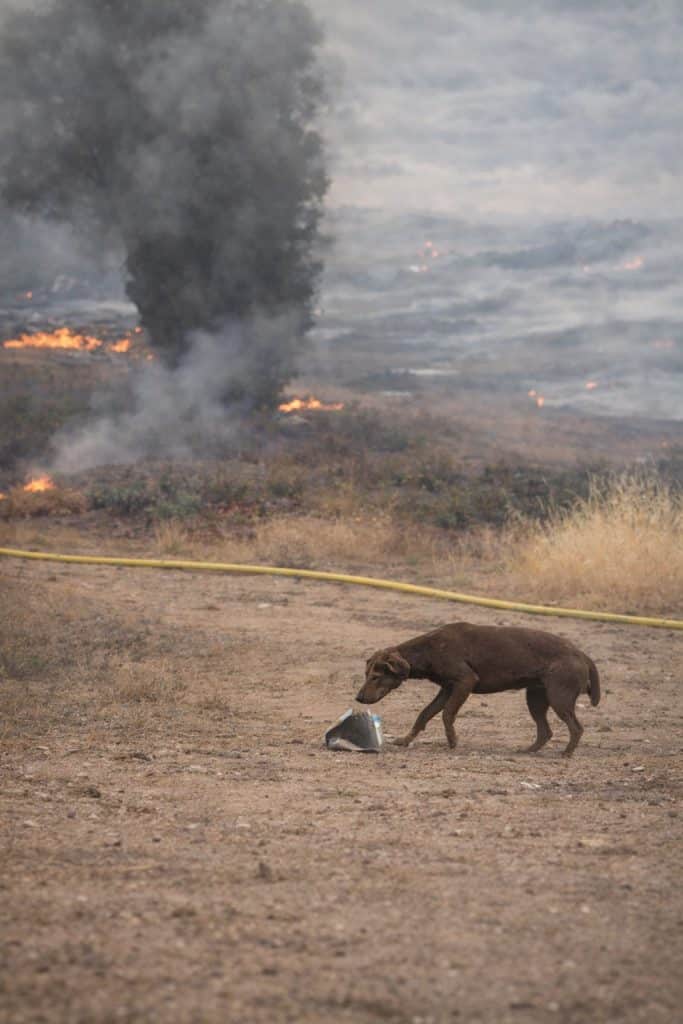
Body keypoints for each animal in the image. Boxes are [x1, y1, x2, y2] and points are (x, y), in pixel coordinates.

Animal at [356, 622, 601, 756]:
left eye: (376, 677)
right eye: (366, 675)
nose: (358, 698)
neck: (427, 650)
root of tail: (581, 653)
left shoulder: (464, 682)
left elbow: (447, 715)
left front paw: (452, 741)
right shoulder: (447, 689)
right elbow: (424, 714)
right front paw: (406, 740)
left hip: (559, 699)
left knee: (576, 728)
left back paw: (566, 753)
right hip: (536, 699)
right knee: (546, 731)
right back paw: (528, 751)